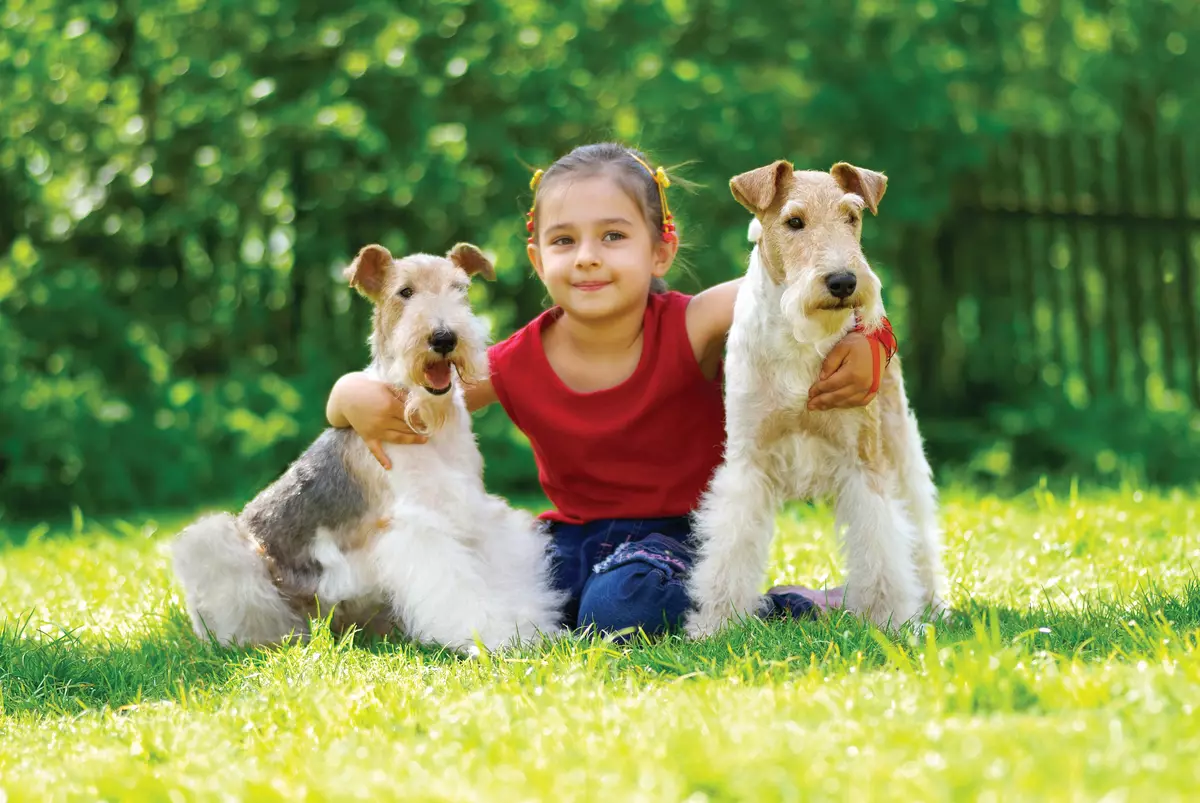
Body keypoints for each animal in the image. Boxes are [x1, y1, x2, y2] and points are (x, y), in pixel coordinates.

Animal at [686, 159, 945, 633]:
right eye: (794, 222)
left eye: (852, 216)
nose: (844, 281)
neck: (799, 340)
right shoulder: (748, 462)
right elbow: (730, 551)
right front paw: (717, 623)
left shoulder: (864, 462)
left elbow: (881, 546)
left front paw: (889, 621)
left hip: (899, 446)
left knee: (919, 533)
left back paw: (933, 604)